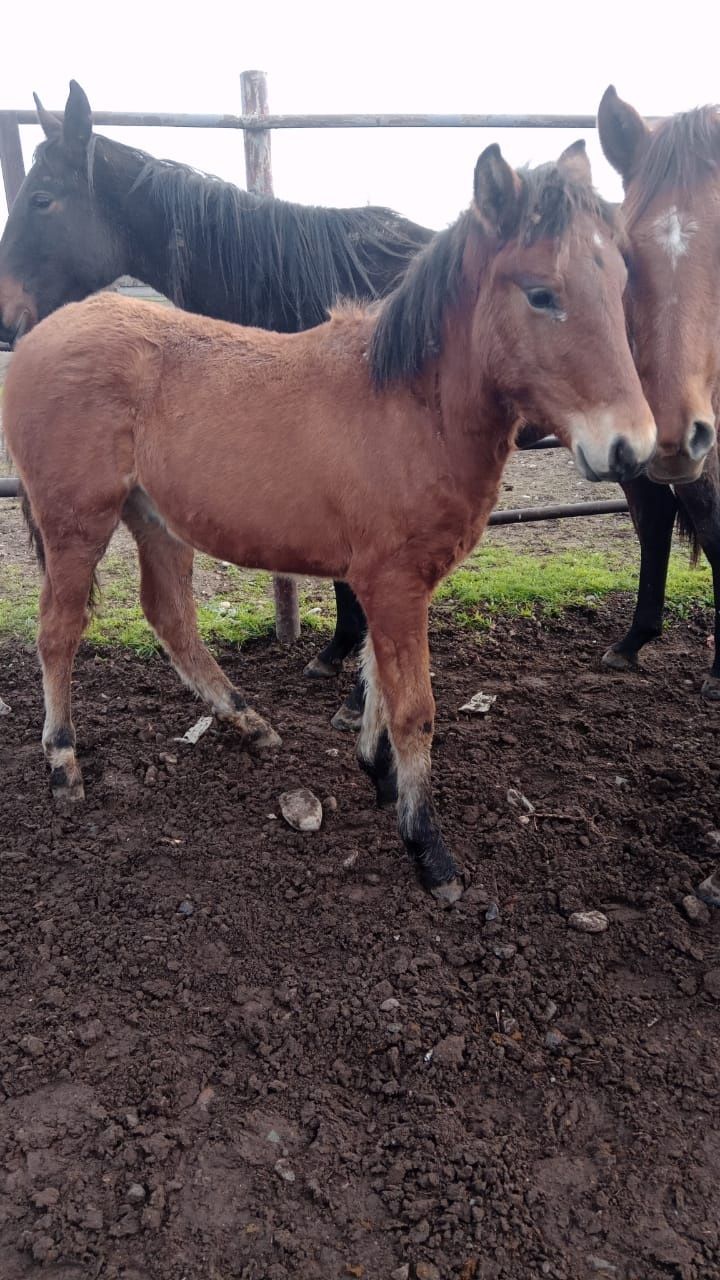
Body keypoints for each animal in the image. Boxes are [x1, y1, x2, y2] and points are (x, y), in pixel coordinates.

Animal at [2, 142, 653, 901]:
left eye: (621, 282)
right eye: (541, 293)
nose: (630, 446)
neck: (408, 403)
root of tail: (41, 333)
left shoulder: (390, 582)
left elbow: (374, 682)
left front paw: (379, 775)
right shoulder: (394, 582)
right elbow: (413, 708)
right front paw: (428, 848)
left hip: (154, 518)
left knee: (169, 614)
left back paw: (247, 720)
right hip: (76, 521)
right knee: (58, 633)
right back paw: (63, 763)